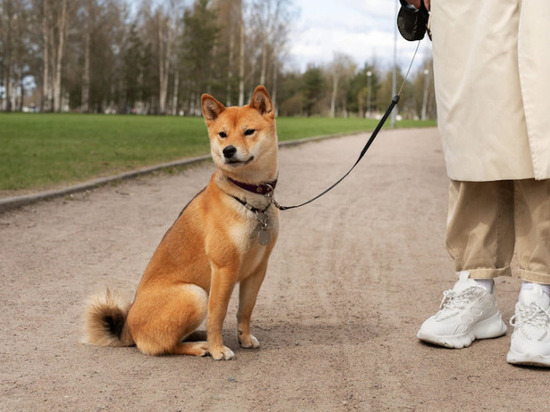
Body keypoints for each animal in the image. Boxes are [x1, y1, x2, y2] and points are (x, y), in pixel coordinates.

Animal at [85, 85, 280, 358]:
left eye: (248, 131)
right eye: (222, 134)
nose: (228, 151)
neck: (249, 197)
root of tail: (128, 330)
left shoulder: (258, 268)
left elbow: (245, 309)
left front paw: (244, 337)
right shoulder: (224, 268)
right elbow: (218, 315)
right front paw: (219, 348)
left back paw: (198, 335)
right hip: (195, 294)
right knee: (162, 345)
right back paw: (200, 345)